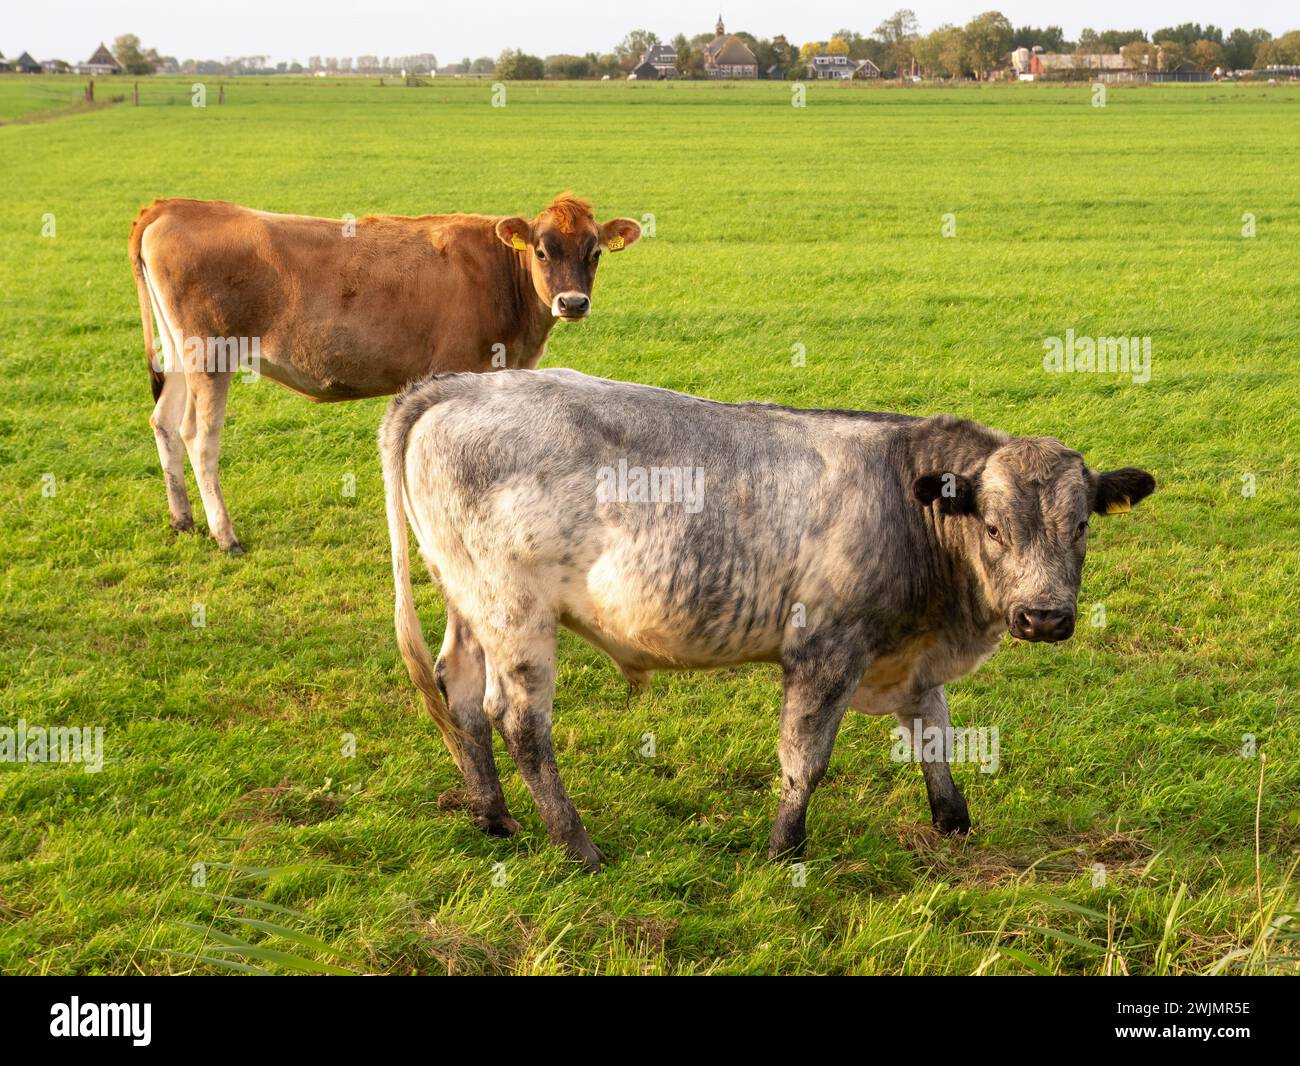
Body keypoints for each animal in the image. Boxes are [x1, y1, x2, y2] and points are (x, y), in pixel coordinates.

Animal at [129, 194, 641, 552]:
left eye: (595, 252)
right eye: (541, 250)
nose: (572, 302)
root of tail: (175, 205)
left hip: (178, 352)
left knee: (164, 423)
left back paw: (182, 520)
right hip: (209, 354)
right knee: (199, 437)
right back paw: (225, 535)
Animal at [379, 369, 1156, 871]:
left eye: (1081, 525)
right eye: (993, 528)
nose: (1043, 616)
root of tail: (459, 386)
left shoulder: (911, 657)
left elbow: (936, 735)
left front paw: (954, 821)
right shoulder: (826, 651)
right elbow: (804, 759)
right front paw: (786, 847)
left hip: (469, 600)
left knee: (459, 692)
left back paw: (493, 816)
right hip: (516, 613)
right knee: (519, 721)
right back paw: (577, 846)